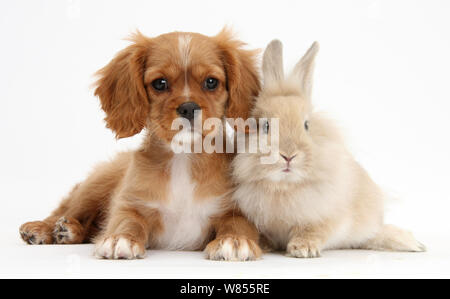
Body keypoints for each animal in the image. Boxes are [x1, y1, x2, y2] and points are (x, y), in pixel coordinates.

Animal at [232, 39, 426, 258]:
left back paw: (411, 243)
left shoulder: (327, 218)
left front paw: (303, 249)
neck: (284, 186)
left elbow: (313, 230)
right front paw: (264, 245)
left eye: (306, 125)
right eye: (265, 126)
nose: (288, 155)